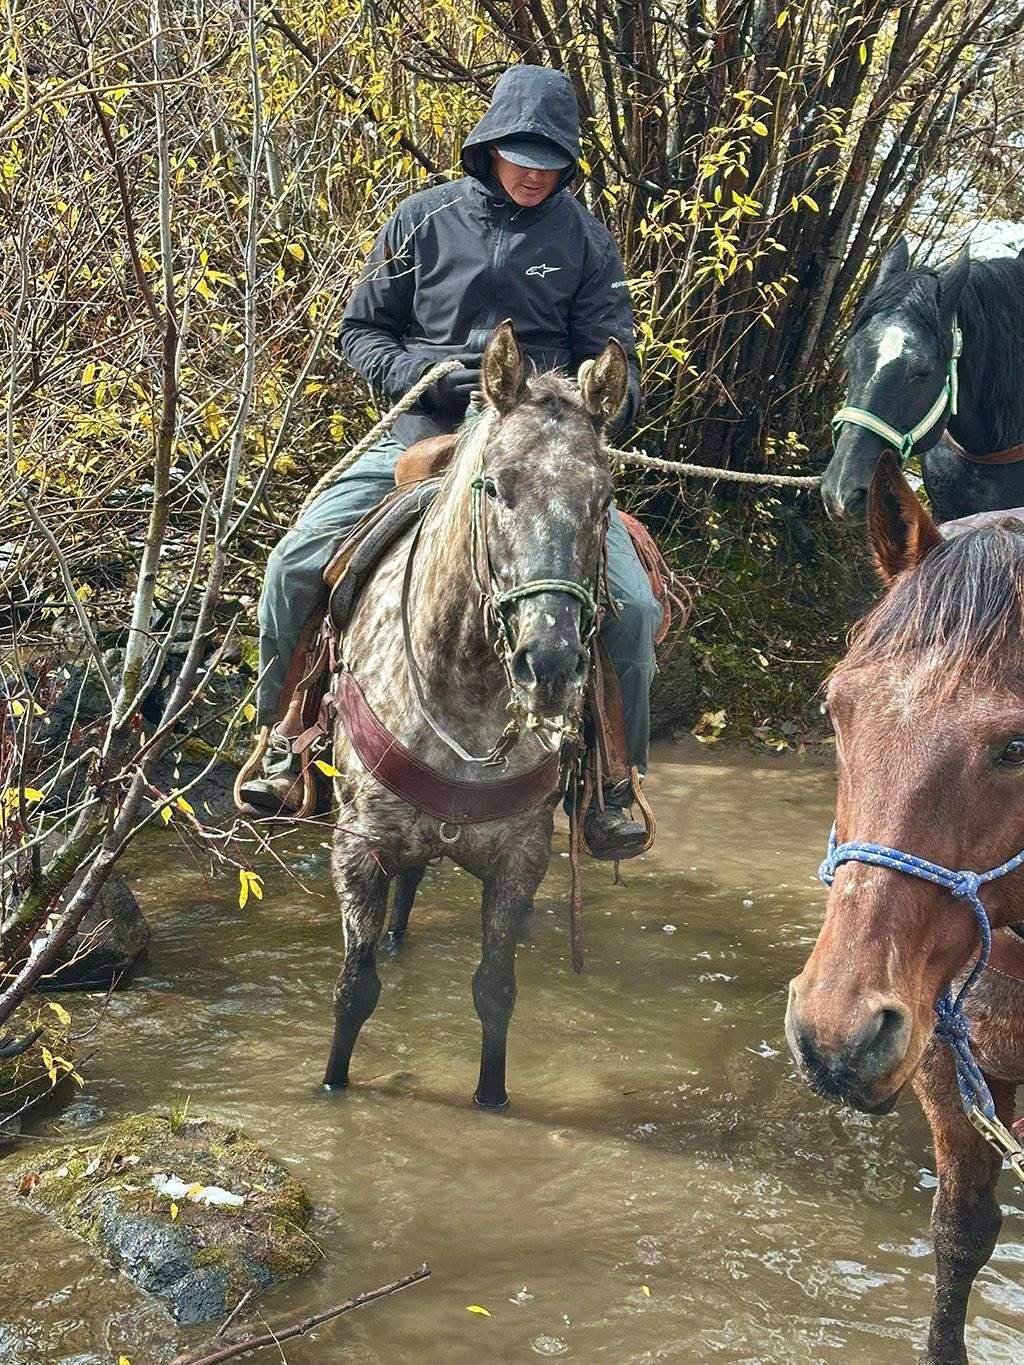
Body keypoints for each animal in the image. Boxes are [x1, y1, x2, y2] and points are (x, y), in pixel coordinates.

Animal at [322, 320, 627, 1109]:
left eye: (603, 500)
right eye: (496, 487)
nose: (547, 665)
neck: (466, 699)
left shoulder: (521, 858)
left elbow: (496, 990)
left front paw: (492, 1098)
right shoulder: (359, 848)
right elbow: (354, 990)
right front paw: (332, 1086)